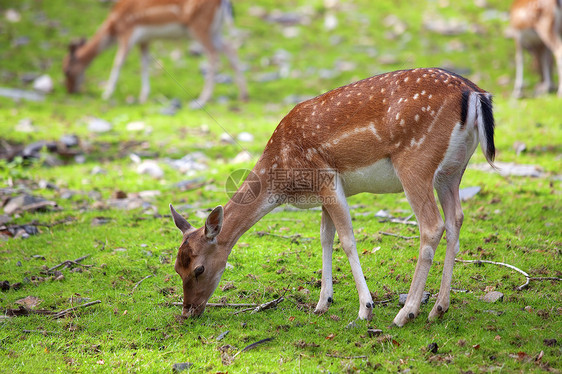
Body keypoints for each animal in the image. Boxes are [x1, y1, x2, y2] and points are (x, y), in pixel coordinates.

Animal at [61, 0, 247, 104]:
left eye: (67, 70)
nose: (70, 91)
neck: (113, 27)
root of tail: (225, 3)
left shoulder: (128, 32)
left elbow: (118, 62)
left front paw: (106, 94)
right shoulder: (144, 40)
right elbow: (144, 64)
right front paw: (144, 96)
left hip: (199, 26)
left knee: (213, 54)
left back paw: (204, 96)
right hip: (215, 29)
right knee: (230, 48)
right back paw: (242, 94)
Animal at [167, 68, 494, 326]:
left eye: (198, 268)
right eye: (176, 267)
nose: (188, 311)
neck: (282, 171)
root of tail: (473, 94)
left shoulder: (325, 177)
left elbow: (347, 239)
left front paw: (365, 308)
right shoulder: (326, 193)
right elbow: (326, 237)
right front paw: (323, 303)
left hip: (416, 161)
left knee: (432, 226)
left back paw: (406, 313)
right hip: (452, 171)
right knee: (455, 221)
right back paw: (438, 308)